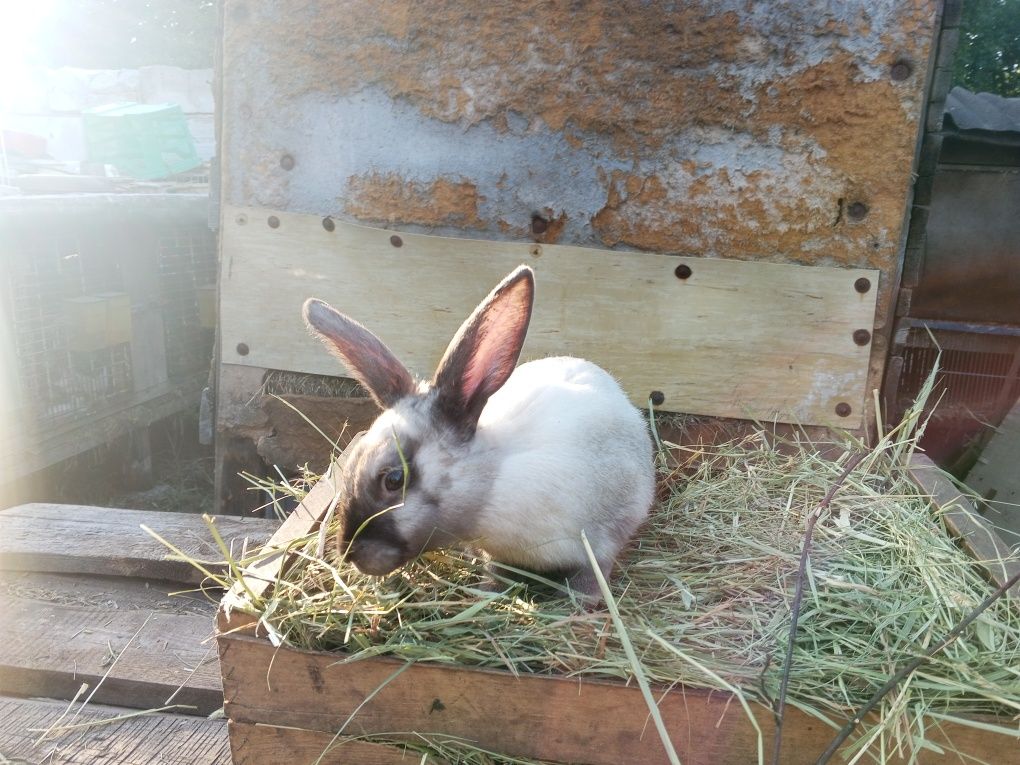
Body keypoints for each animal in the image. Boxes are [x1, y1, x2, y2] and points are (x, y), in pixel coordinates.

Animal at [299, 267, 652, 603]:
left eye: (394, 480)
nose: (348, 552)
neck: (492, 487)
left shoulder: (601, 543)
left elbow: (589, 578)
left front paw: (577, 608)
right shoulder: (498, 554)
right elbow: (496, 572)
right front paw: (491, 591)